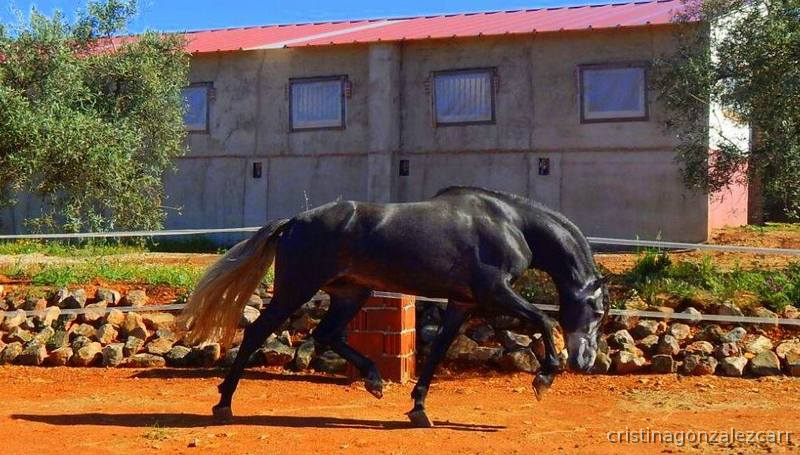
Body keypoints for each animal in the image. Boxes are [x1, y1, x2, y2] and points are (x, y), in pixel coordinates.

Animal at [178, 186, 609, 428]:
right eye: (598, 311)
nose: (586, 361)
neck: (510, 223)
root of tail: (295, 221)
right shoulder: (494, 292)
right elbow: (543, 321)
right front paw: (544, 378)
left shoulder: (462, 302)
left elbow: (436, 353)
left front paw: (418, 409)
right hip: (296, 289)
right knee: (256, 332)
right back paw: (223, 403)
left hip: (352, 293)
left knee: (325, 333)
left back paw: (374, 381)